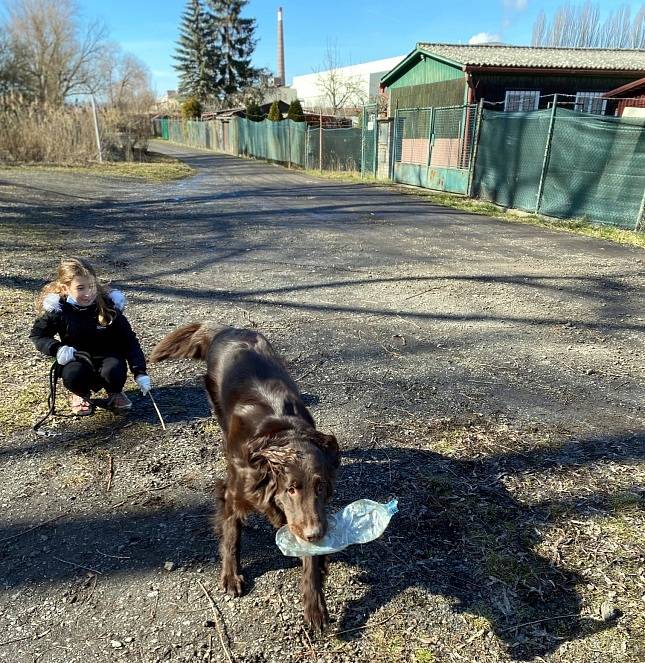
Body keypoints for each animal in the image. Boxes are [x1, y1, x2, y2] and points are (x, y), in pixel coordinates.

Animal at [151, 326, 340, 632]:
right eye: (291, 489)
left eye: (320, 486)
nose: (316, 533)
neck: (282, 434)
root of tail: (225, 328)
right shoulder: (232, 492)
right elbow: (231, 536)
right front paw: (231, 576)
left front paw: (315, 604)